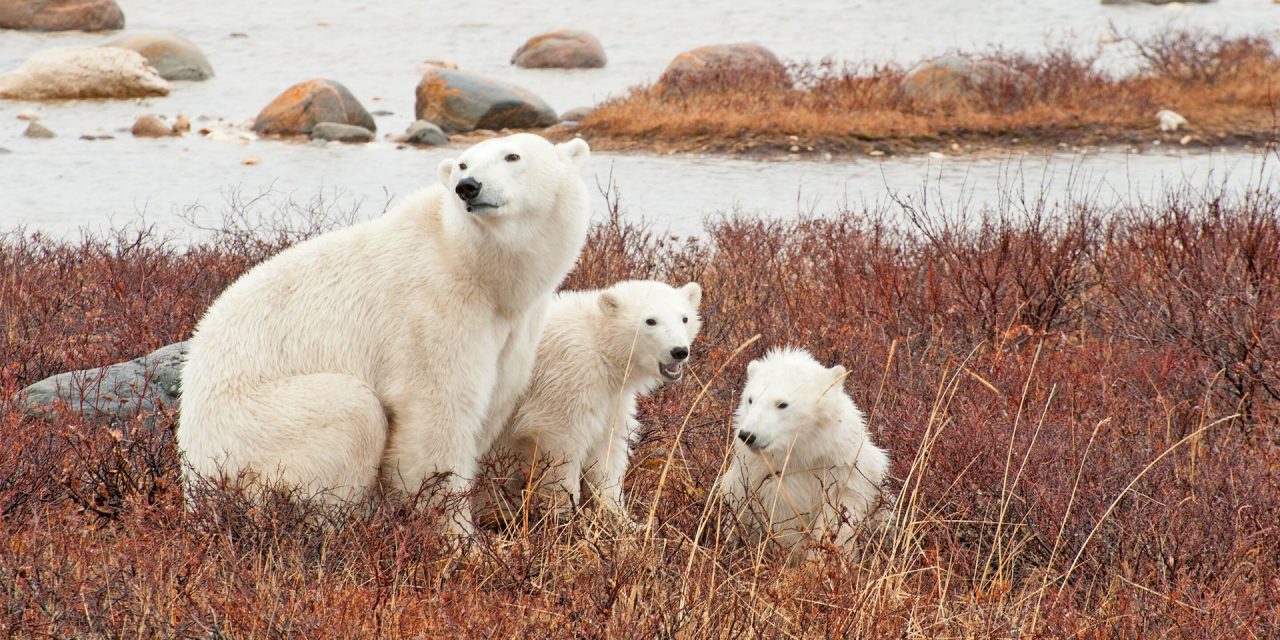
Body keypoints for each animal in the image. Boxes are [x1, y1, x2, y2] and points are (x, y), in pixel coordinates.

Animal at [177, 133, 592, 536]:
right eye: (463, 163)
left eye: (512, 156)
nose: (468, 187)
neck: (479, 269)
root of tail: (195, 487)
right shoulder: (431, 310)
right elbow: (436, 417)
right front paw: (458, 538)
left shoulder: (514, 329)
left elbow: (492, 401)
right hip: (255, 431)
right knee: (351, 411)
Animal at [480, 280, 703, 527]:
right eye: (651, 320)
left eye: (684, 318)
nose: (679, 351)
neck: (599, 343)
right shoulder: (570, 378)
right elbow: (562, 446)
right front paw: (568, 517)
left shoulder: (613, 397)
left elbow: (608, 450)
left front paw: (627, 521)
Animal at [718, 347, 892, 564]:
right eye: (750, 399)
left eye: (782, 404)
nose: (748, 435)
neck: (803, 455)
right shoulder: (765, 480)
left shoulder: (844, 474)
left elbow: (837, 520)